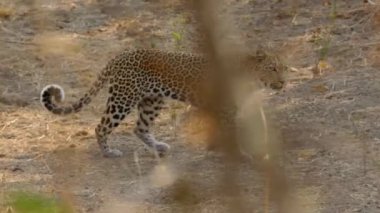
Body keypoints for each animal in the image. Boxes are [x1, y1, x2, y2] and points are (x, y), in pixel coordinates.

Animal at [40, 48, 286, 158]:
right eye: (272, 68)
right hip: (123, 99)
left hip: (153, 101)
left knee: (139, 128)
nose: (284, 81)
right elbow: (231, 131)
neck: (252, 80)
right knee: (101, 126)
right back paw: (109, 152)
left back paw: (158, 147)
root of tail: (119, 56)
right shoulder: (226, 109)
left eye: (282, 67)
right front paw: (239, 153)